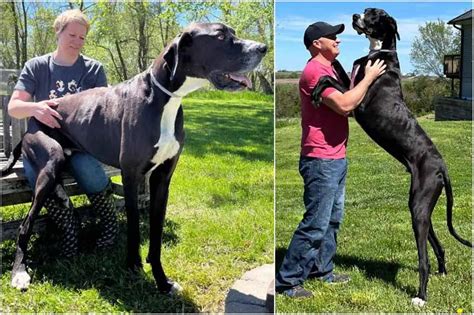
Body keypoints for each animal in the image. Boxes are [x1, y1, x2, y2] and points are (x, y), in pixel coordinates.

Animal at [2, 22, 266, 296]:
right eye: (220, 36)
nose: (263, 48)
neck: (164, 98)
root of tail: (31, 122)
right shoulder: (131, 175)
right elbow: (134, 227)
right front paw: (133, 267)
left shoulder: (162, 179)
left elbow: (156, 234)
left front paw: (162, 281)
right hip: (50, 158)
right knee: (25, 224)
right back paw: (19, 272)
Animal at [312, 8, 472, 308]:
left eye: (374, 15)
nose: (355, 14)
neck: (379, 52)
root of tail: (442, 167)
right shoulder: (352, 86)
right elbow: (337, 71)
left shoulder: (358, 103)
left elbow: (330, 80)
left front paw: (317, 90)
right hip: (421, 205)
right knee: (437, 244)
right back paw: (443, 271)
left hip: (419, 207)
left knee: (423, 260)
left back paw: (421, 296)